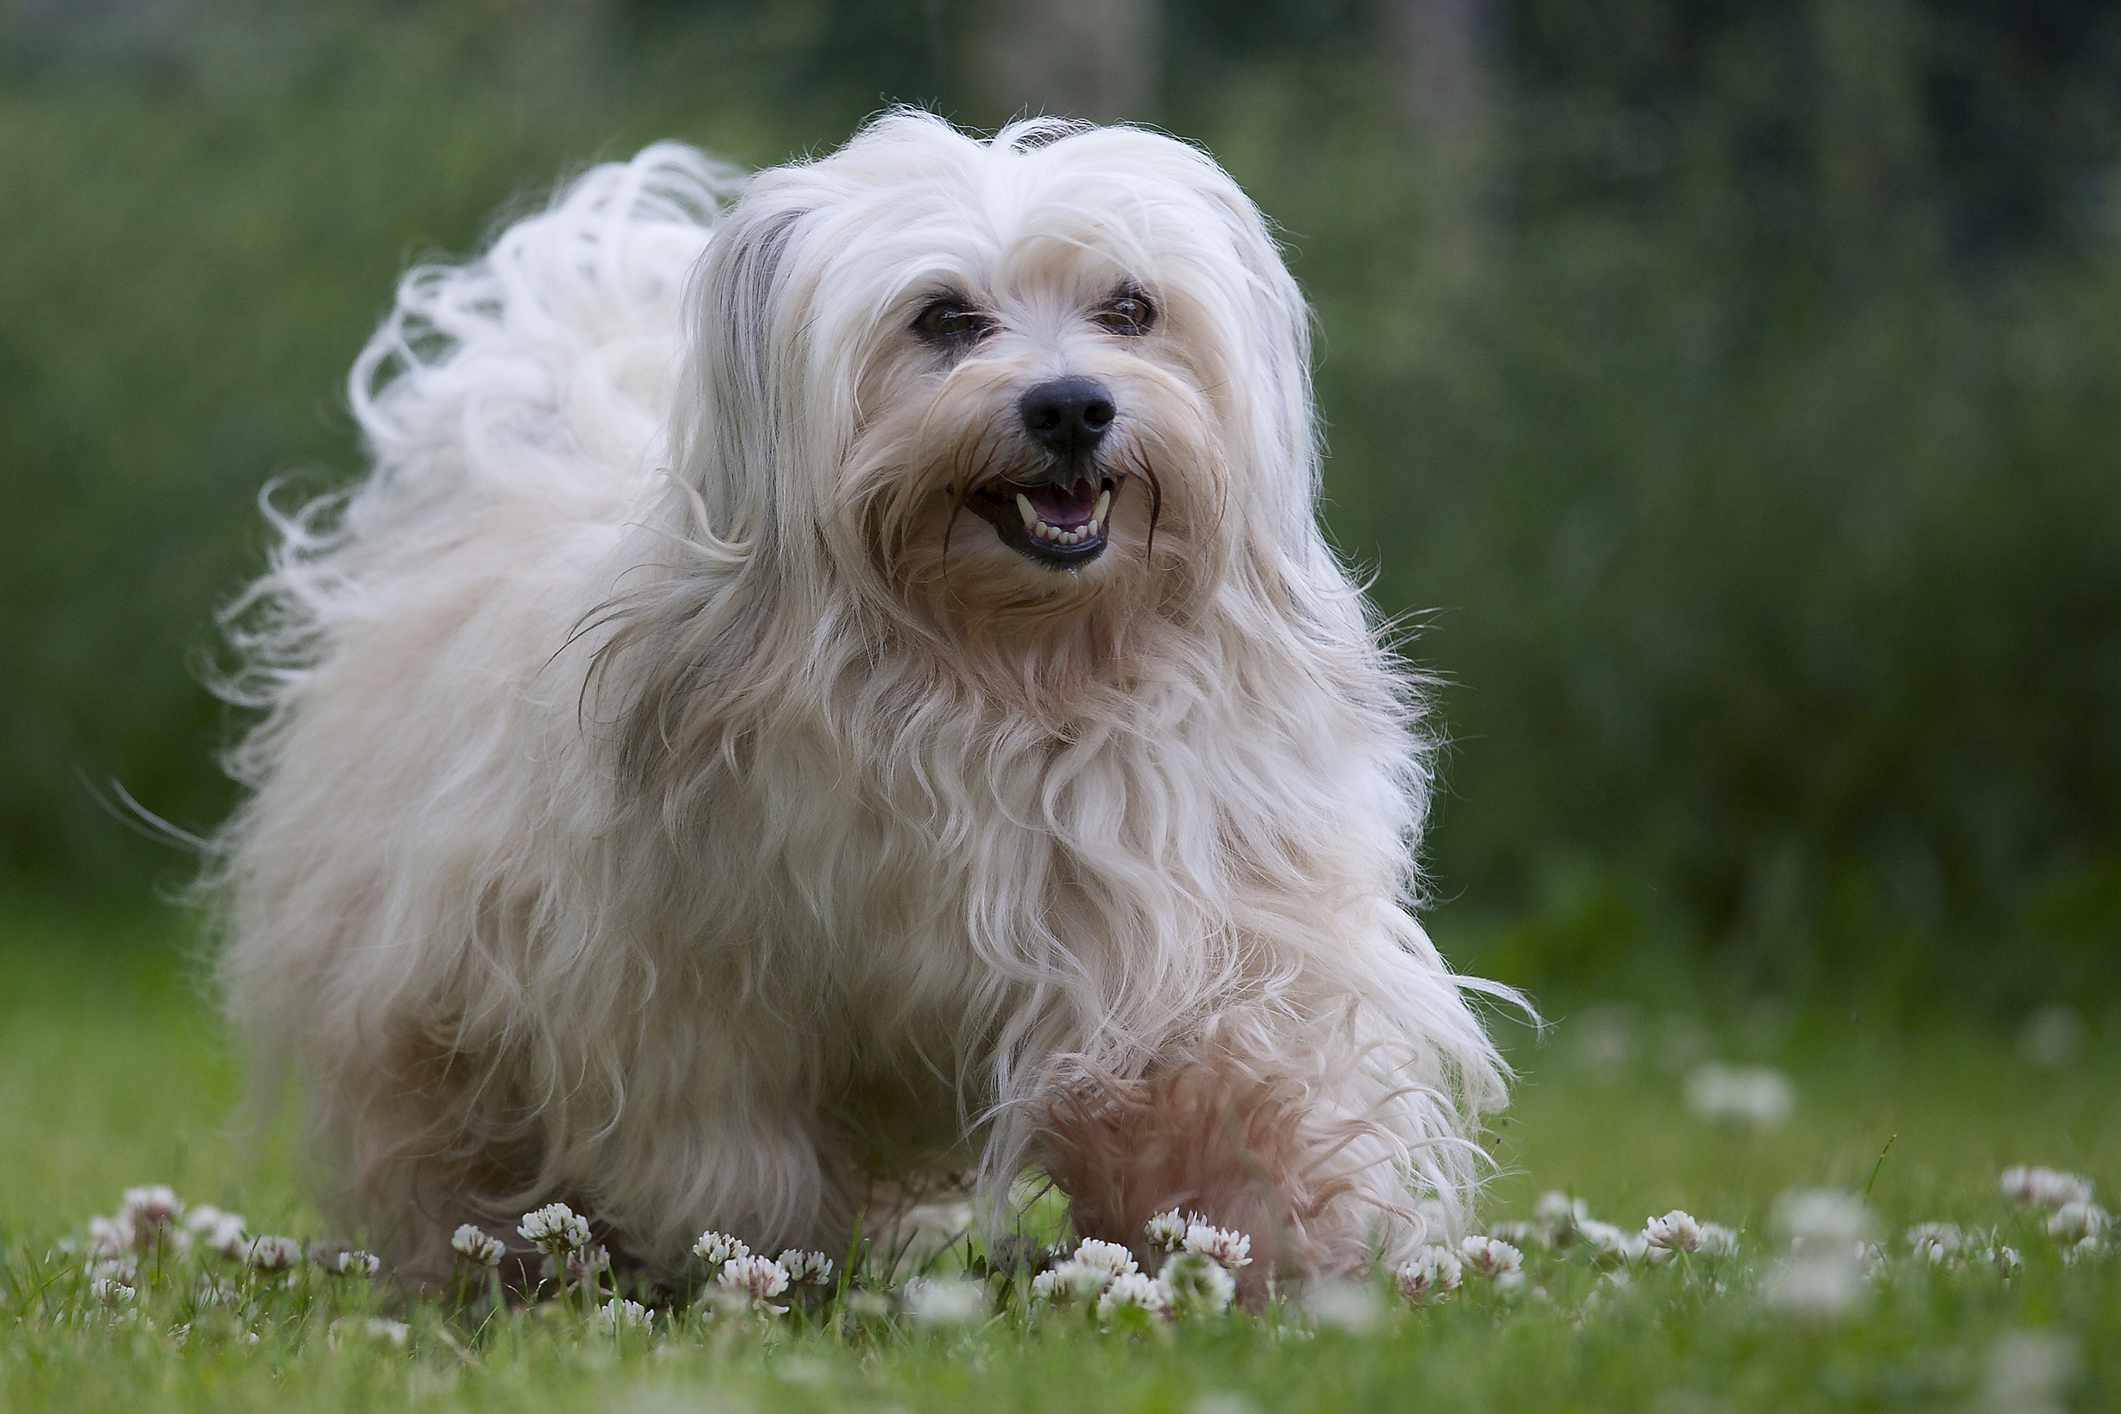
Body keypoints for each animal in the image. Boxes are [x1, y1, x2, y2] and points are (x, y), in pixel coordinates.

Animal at [206, 113, 1518, 1297]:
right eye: (943, 318)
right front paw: (750, 1264)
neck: (1007, 671)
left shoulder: (1183, 904)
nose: (1072, 405)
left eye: (1132, 309)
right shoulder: (689, 983)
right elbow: (730, 1149)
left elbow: (1232, 1070)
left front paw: (1275, 1240)